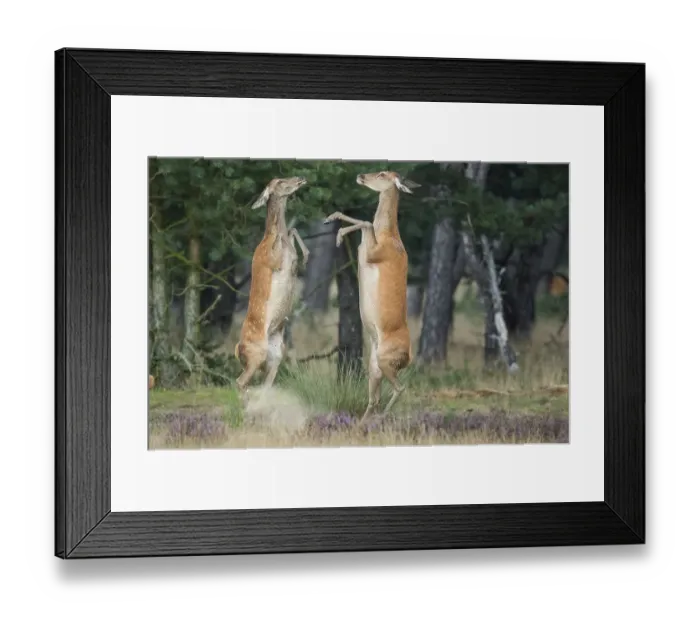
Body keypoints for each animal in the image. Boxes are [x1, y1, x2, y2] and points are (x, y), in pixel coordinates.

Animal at [234, 176, 310, 392]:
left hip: (276, 355)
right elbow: (282, 242)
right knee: (239, 382)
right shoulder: (273, 261)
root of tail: (237, 350)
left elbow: (292, 230)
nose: (300, 178)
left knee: (263, 383)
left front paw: (305, 257)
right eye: (280, 181)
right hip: (256, 353)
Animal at [324, 170, 420, 420]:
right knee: (374, 398)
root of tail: (409, 357)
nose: (361, 175)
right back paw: (364, 422)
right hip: (374, 365)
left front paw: (338, 234)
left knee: (399, 388)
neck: (388, 235)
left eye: (383, 174)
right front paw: (332, 221)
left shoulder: (374, 253)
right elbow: (365, 223)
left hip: (385, 359)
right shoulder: (365, 250)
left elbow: (366, 223)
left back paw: (383, 416)